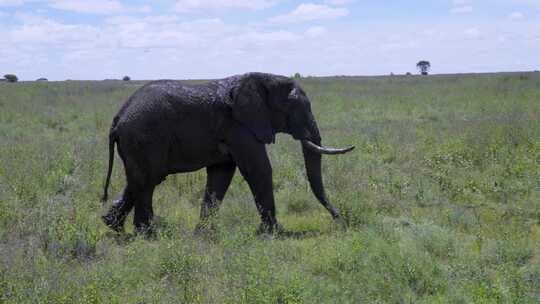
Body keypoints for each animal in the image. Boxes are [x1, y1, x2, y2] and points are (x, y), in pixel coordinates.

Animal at [101, 73, 354, 235]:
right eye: (297, 108)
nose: (341, 223)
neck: (263, 78)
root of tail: (117, 119)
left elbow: (221, 175)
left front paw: (203, 234)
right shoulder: (241, 127)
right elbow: (259, 170)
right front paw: (275, 232)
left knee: (139, 180)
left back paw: (113, 226)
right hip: (144, 138)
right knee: (147, 181)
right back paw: (148, 234)